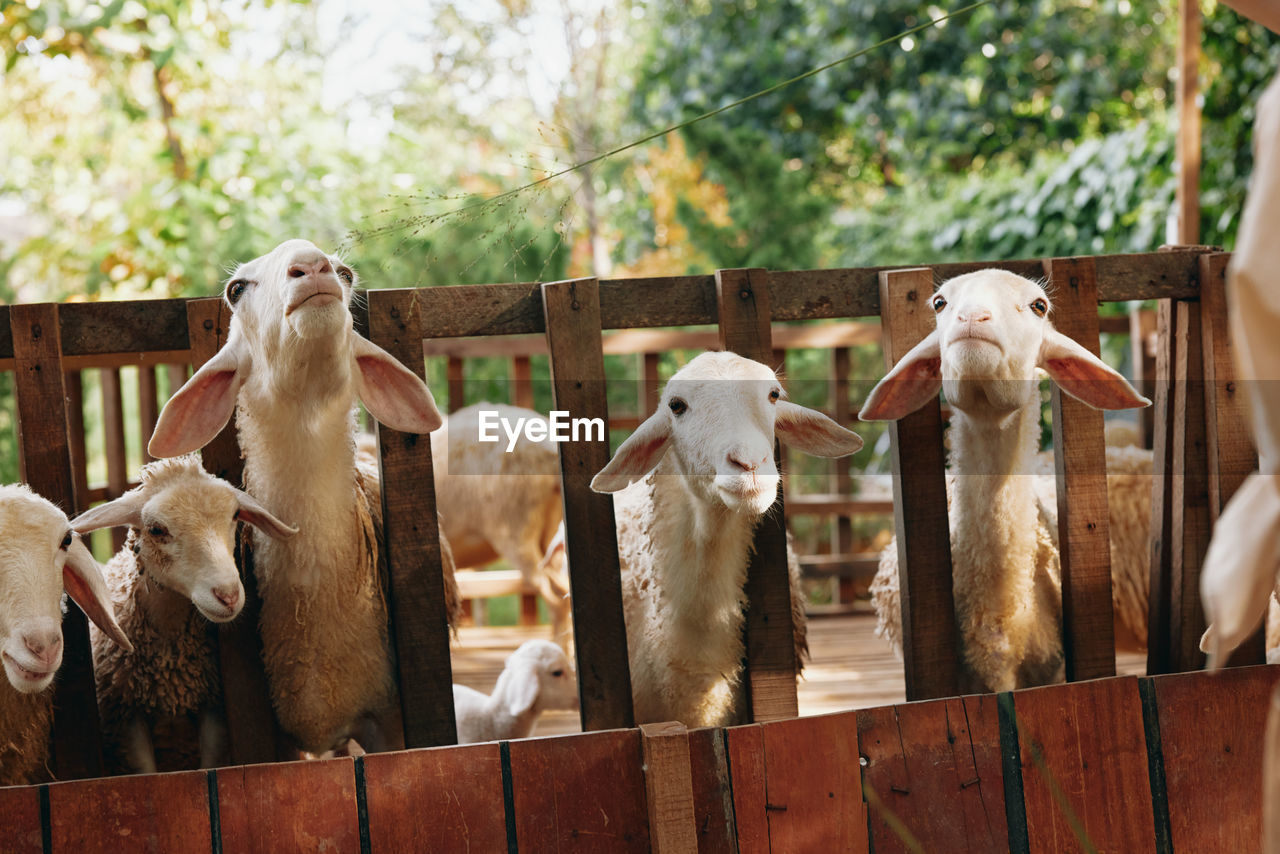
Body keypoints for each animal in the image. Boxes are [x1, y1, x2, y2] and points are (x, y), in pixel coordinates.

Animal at [72, 458, 296, 778]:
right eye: (156, 529)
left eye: (235, 515)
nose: (228, 595)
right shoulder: (126, 717)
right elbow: (146, 773)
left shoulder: (213, 709)